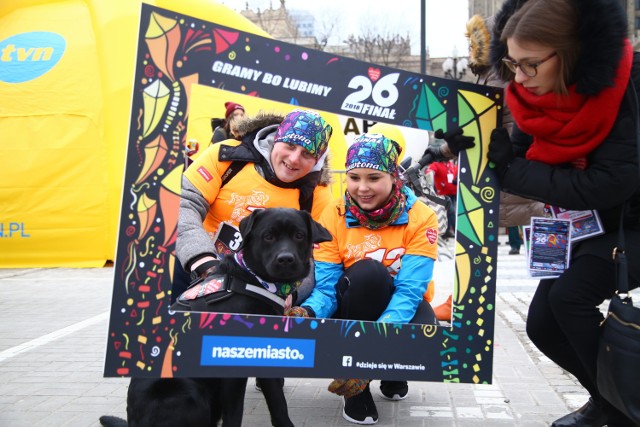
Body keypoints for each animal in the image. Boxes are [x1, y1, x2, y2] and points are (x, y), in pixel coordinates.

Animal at [101, 210, 330, 427]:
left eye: (299, 235)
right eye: (268, 236)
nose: (285, 259)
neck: (253, 280)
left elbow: (279, 405)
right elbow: (236, 414)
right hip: (188, 392)